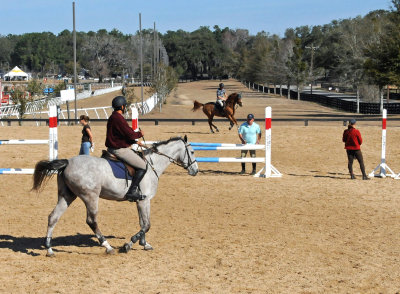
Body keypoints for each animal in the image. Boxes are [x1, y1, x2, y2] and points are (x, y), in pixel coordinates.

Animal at [31, 137, 198, 256]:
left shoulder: (141, 201)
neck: (152, 165)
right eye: (192, 152)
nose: (195, 171)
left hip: (67, 196)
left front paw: (144, 244)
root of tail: (67, 162)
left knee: (53, 217)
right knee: (91, 221)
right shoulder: (145, 200)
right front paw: (128, 245)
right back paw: (107, 246)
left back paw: (49, 249)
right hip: (90, 197)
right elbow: (147, 224)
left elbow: (143, 223)